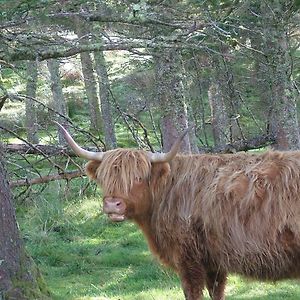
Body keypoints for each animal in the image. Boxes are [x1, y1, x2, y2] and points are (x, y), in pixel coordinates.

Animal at [55, 122, 300, 300]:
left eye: (138, 177)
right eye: (105, 177)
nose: (113, 204)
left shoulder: (188, 259)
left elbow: (193, 293)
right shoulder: (214, 261)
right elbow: (216, 292)